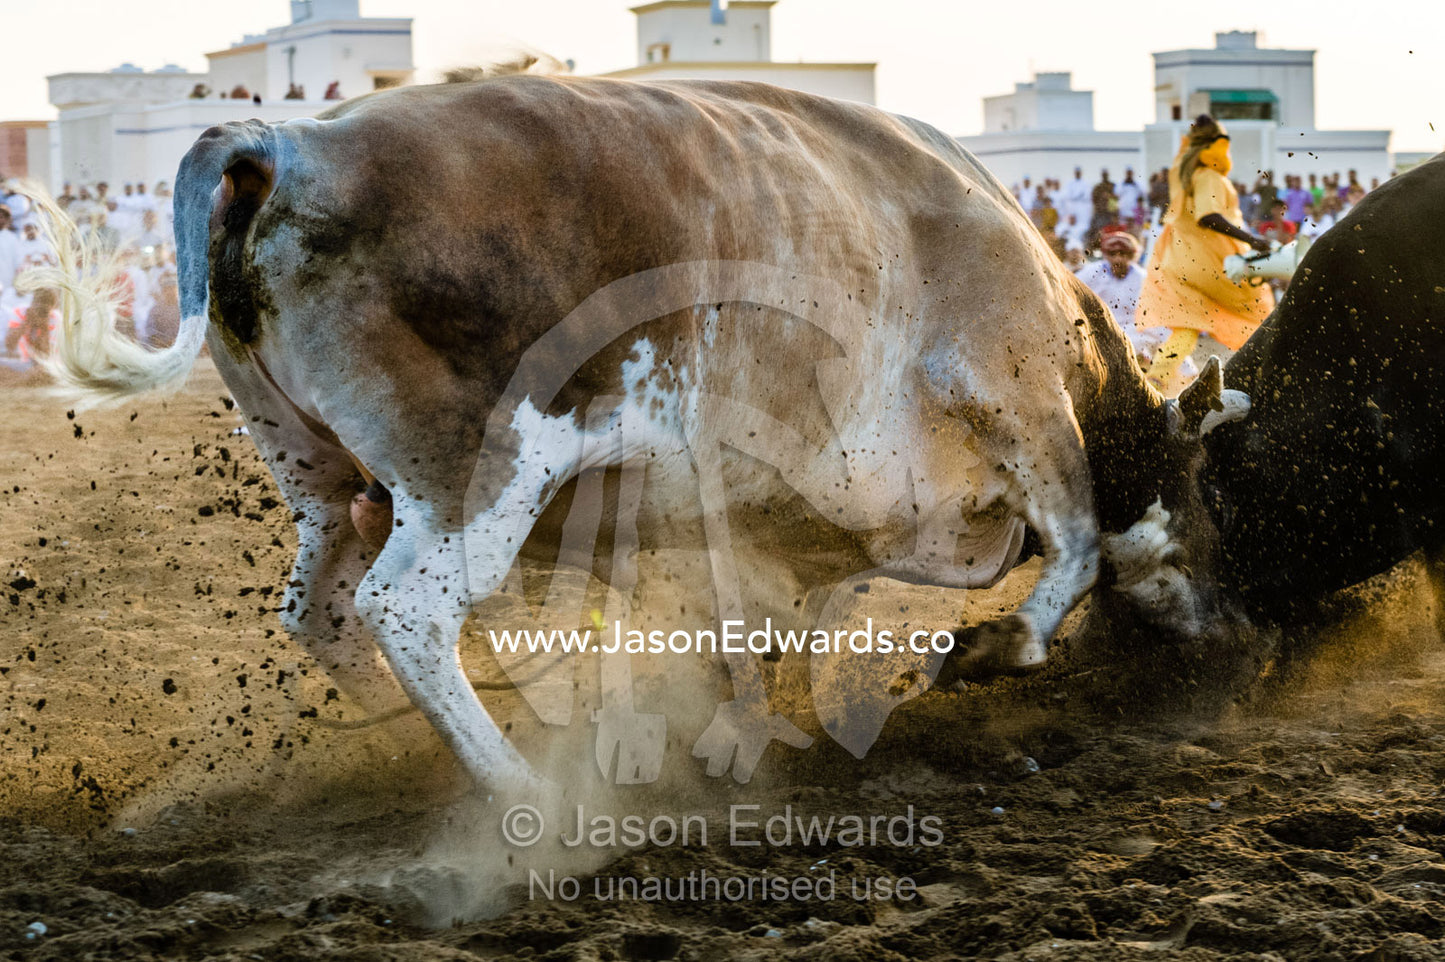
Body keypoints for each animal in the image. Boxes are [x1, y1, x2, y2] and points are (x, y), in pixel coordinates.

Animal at [35, 73, 1247, 791]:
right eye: (1208, 495)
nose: (1235, 628)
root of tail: (285, 141)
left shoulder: (751, 515)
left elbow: (751, 625)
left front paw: (726, 734)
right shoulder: (1015, 390)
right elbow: (1079, 534)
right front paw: (1001, 645)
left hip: (322, 481)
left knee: (321, 612)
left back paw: (405, 745)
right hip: (475, 475)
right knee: (406, 610)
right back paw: (517, 789)